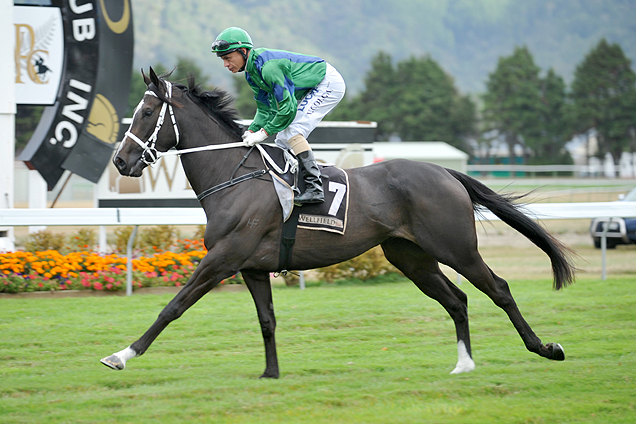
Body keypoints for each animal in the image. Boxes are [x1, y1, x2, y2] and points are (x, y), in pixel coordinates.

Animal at [100, 69, 576, 378]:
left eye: (146, 113)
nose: (120, 162)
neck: (234, 177)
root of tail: (445, 172)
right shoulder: (251, 266)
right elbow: (267, 320)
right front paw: (271, 374)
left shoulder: (223, 258)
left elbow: (173, 306)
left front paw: (122, 354)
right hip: (410, 256)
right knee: (456, 300)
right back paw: (464, 363)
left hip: (456, 247)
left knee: (499, 289)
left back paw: (545, 348)